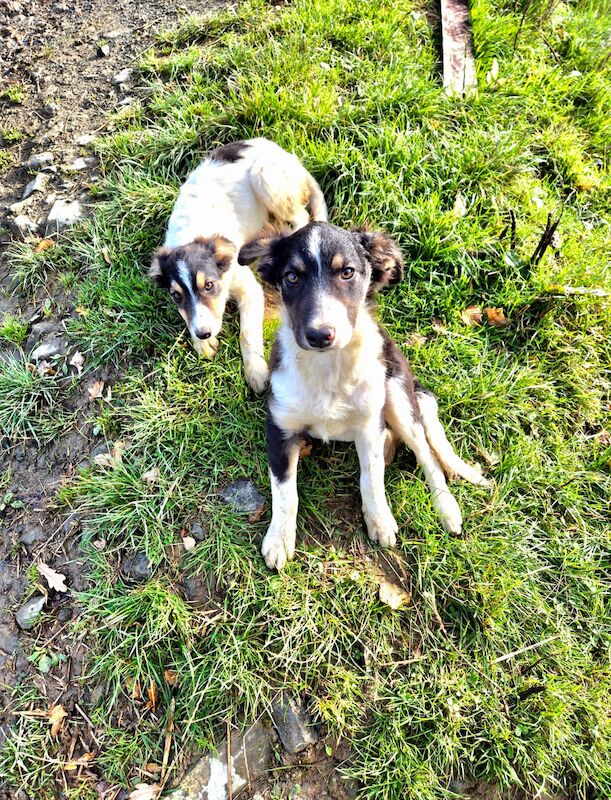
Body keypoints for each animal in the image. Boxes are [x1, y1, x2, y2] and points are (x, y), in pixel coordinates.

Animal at [149, 138, 328, 394]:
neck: (192, 237)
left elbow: (247, 333)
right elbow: (187, 316)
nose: (203, 334)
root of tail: (283, 152)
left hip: (266, 178)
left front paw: (255, 371)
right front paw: (202, 344)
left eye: (209, 285)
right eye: (176, 295)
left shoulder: (250, 289)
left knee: (300, 217)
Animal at [239, 219, 492, 568]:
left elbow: (371, 478)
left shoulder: (370, 424)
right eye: (292, 276)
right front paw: (278, 539)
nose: (320, 335)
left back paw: (447, 509)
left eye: (347, 272)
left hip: (397, 394)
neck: (328, 367)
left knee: (427, 453)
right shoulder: (280, 427)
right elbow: (284, 490)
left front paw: (380, 521)